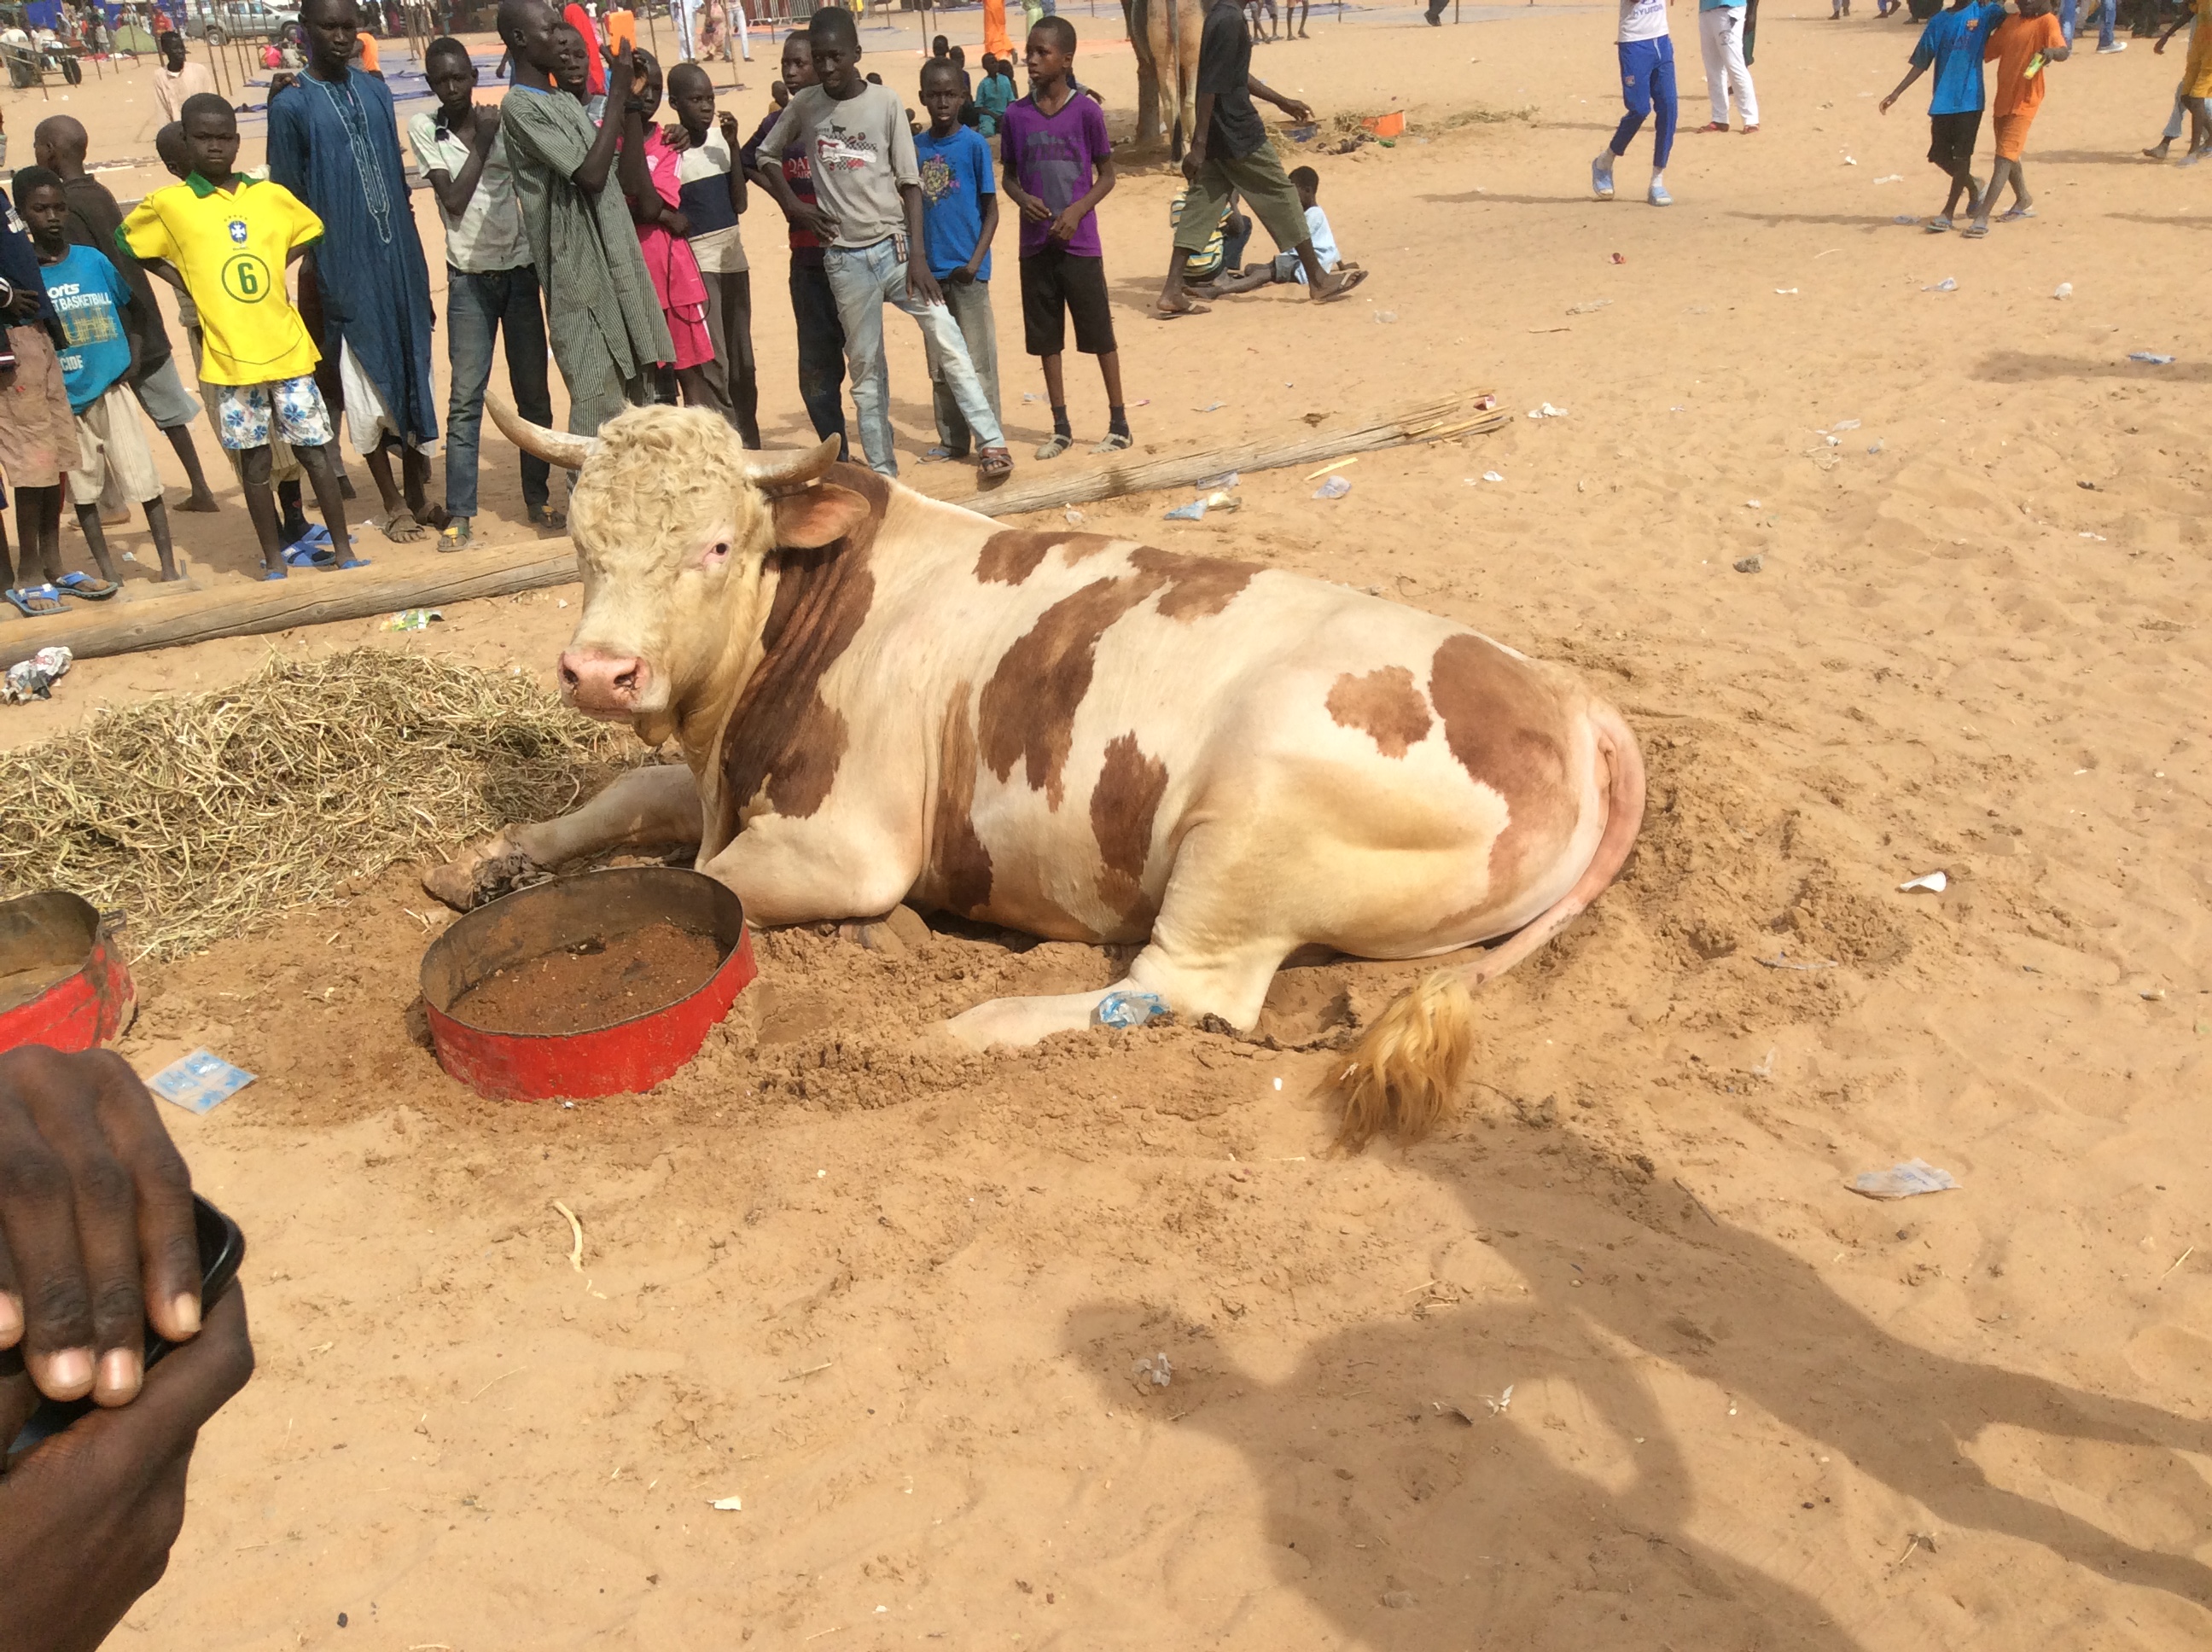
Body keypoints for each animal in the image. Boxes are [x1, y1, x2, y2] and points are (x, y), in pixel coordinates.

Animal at [427, 404, 1645, 1149]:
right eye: (578, 539)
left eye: (718, 544)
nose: (599, 670)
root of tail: (1562, 694)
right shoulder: (721, 777)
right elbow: (630, 801)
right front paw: (489, 860)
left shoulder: (848, 847)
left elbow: (705, 877)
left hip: (1246, 826)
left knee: (1177, 989)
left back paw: (971, 1025)